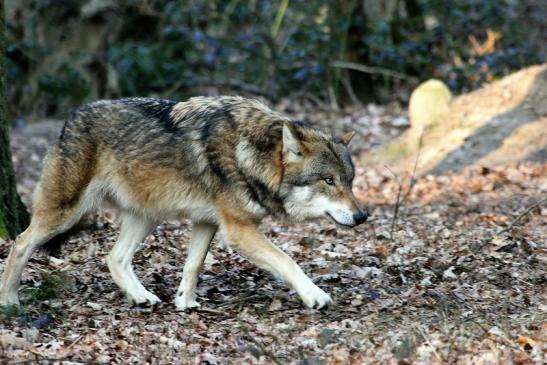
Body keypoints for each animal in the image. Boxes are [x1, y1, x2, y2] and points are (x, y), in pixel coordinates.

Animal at [1, 95, 368, 308]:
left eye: (350, 181)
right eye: (329, 181)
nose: (362, 216)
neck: (251, 152)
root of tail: (71, 116)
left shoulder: (206, 222)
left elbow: (193, 265)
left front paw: (184, 302)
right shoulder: (238, 230)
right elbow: (287, 260)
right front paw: (315, 295)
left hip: (146, 216)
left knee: (114, 258)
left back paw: (142, 297)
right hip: (66, 212)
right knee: (20, 242)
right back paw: (10, 300)